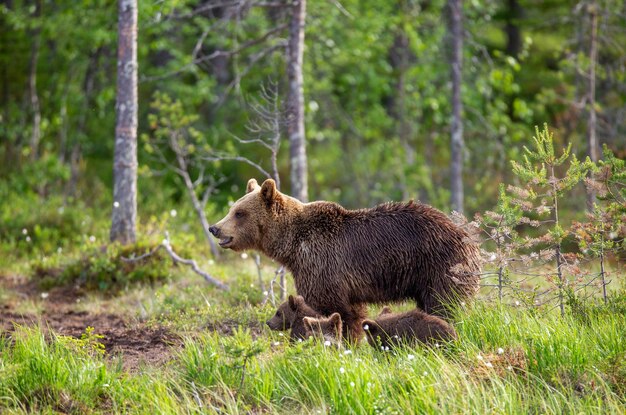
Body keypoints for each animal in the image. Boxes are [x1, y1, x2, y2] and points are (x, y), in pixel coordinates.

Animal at [210, 179, 478, 342]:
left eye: (239, 213)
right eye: (233, 208)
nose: (215, 228)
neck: (293, 247)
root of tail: (468, 237)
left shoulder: (323, 266)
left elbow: (336, 311)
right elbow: (353, 312)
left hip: (440, 266)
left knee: (445, 304)